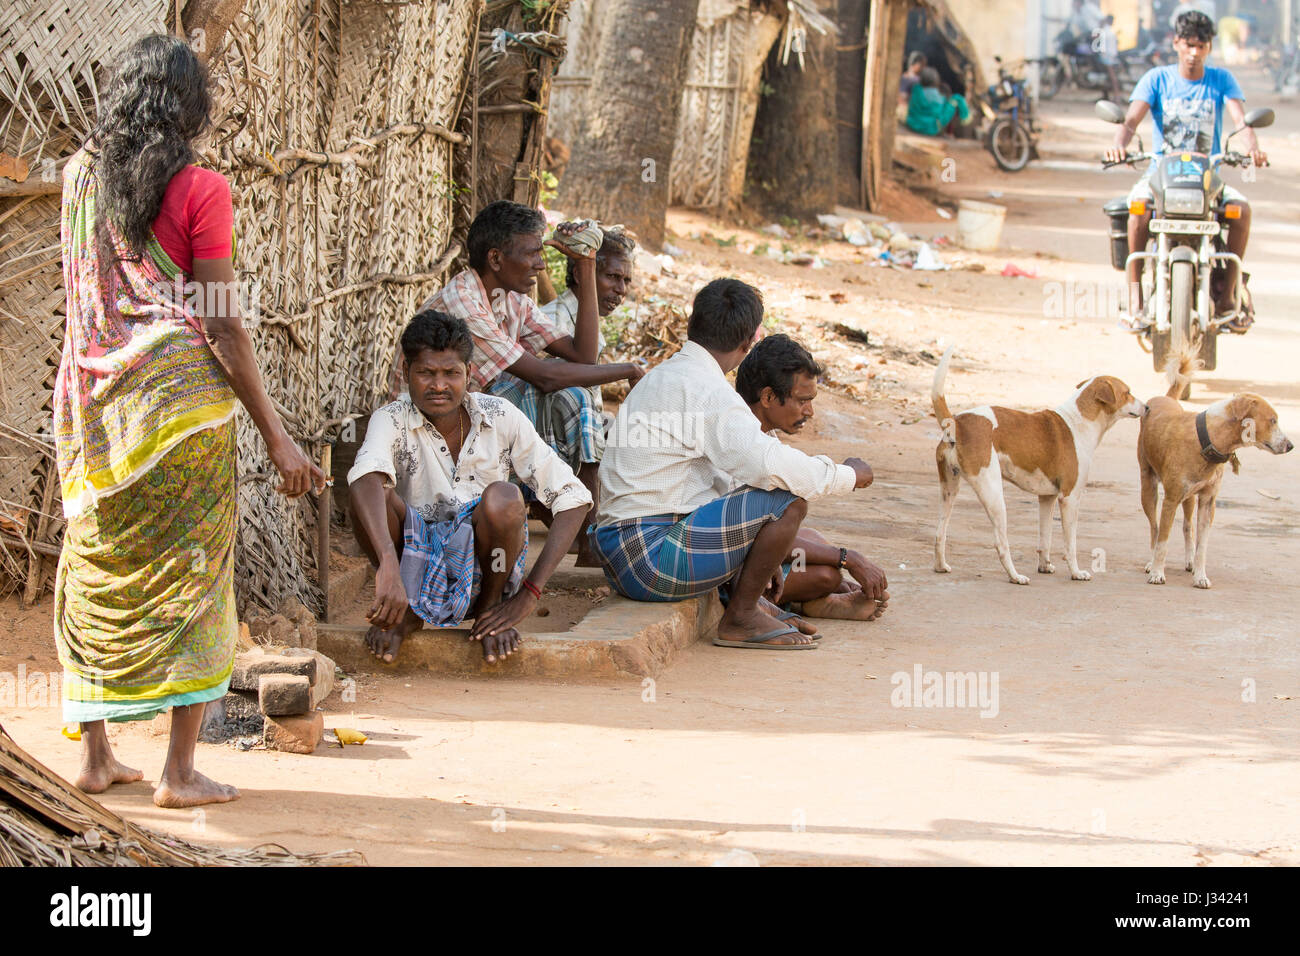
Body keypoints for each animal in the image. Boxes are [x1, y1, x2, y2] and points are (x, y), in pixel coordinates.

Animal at [930, 348, 1144, 582]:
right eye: (1128, 392)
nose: (1148, 406)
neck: (1079, 421)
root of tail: (956, 422)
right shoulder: (1070, 499)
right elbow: (1070, 545)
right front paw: (1076, 572)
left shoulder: (1047, 498)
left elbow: (1045, 538)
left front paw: (1045, 566)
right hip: (994, 495)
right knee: (1001, 544)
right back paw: (1016, 576)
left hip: (949, 490)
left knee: (939, 533)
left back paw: (941, 566)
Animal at [1138, 369, 1289, 587]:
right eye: (1273, 420)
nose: (1291, 445)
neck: (1208, 438)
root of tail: (1165, 398)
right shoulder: (1171, 500)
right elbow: (1163, 541)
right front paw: (1158, 572)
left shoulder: (1208, 501)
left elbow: (1202, 546)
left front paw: (1200, 576)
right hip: (1148, 489)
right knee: (1154, 528)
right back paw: (1151, 563)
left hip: (1190, 498)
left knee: (1187, 526)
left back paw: (1189, 561)